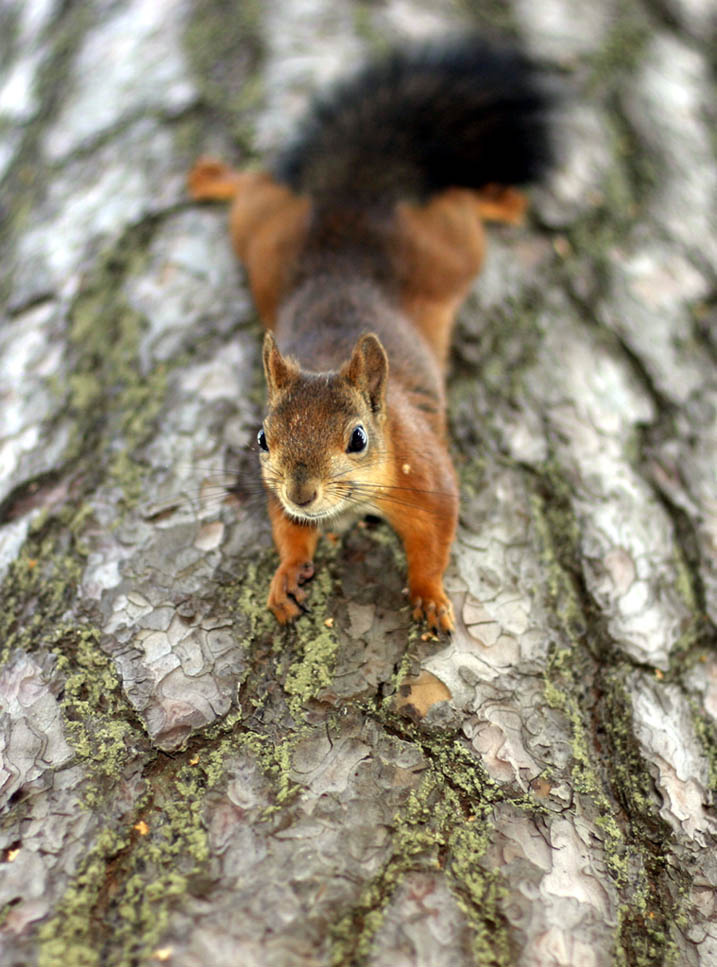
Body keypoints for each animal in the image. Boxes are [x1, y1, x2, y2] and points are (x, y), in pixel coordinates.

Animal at [188, 38, 551, 632]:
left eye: (358, 438)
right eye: (263, 438)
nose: (302, 492)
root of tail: (356, 200)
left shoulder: (428, 478)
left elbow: (435, 541)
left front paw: (429, 595)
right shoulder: (277, 495)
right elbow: (287, 530)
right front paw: (287, 575)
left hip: (446, 248)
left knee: (457, 203)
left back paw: (498, 199)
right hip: (267, 237)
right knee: (257, 189)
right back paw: (215, 177)